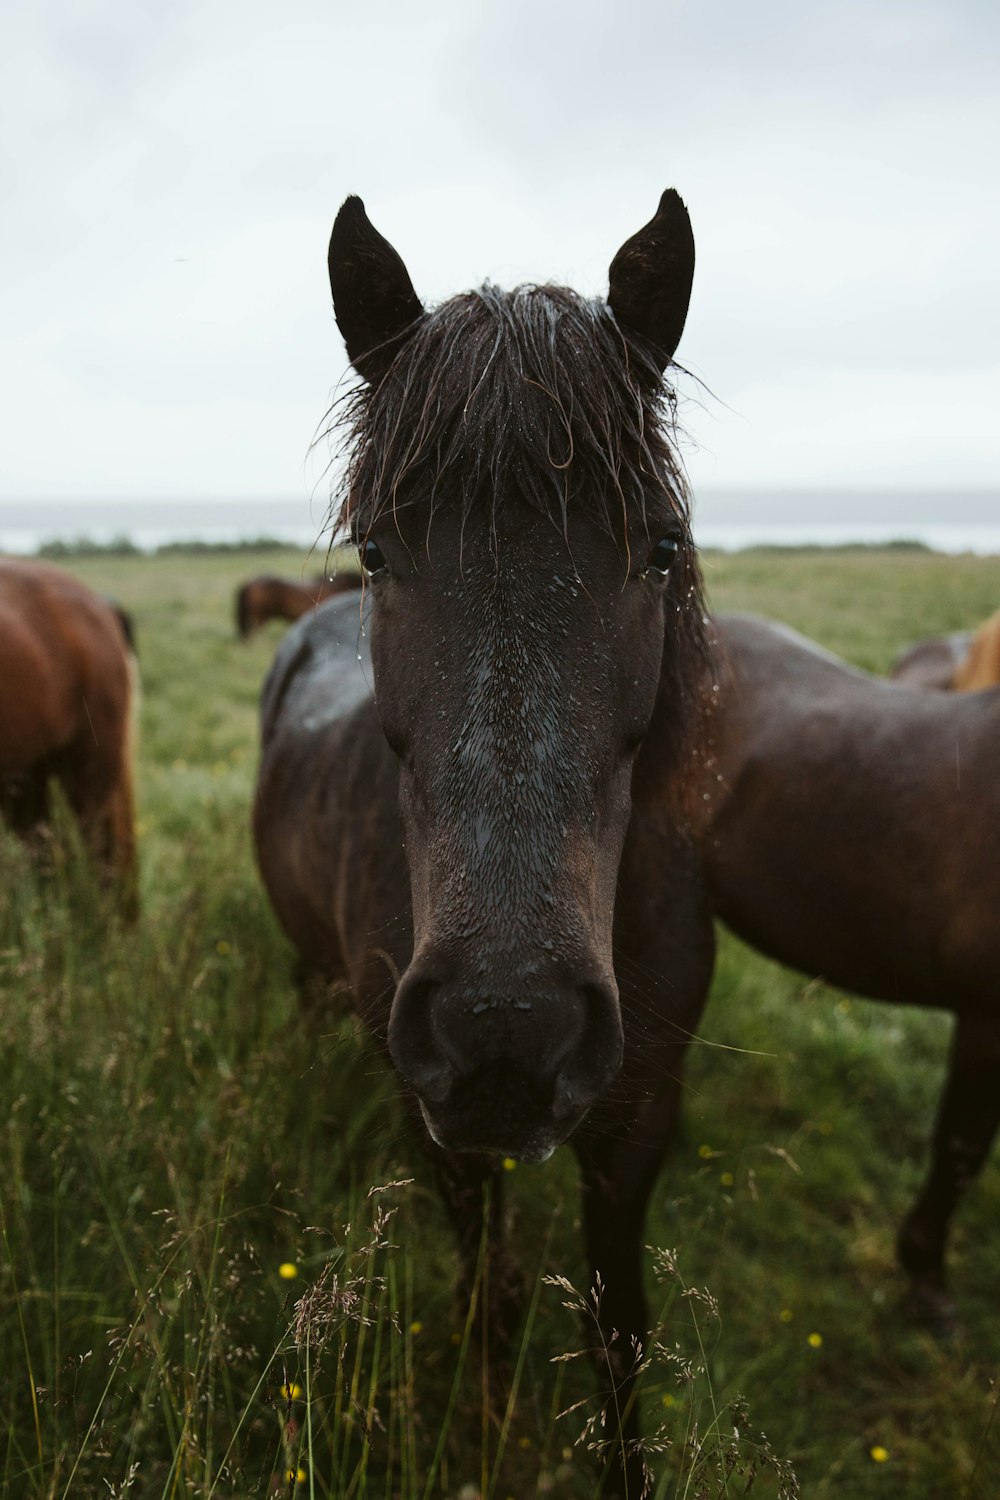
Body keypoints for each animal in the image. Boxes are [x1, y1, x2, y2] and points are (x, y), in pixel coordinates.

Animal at [254, 190, 716, 1488]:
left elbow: (619, 1335)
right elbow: (491, 1297)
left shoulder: (639, 1117)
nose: (506, 1025)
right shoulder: (446, 1129)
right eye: (375, 551)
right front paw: (481, 1432)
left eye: (659, 547)